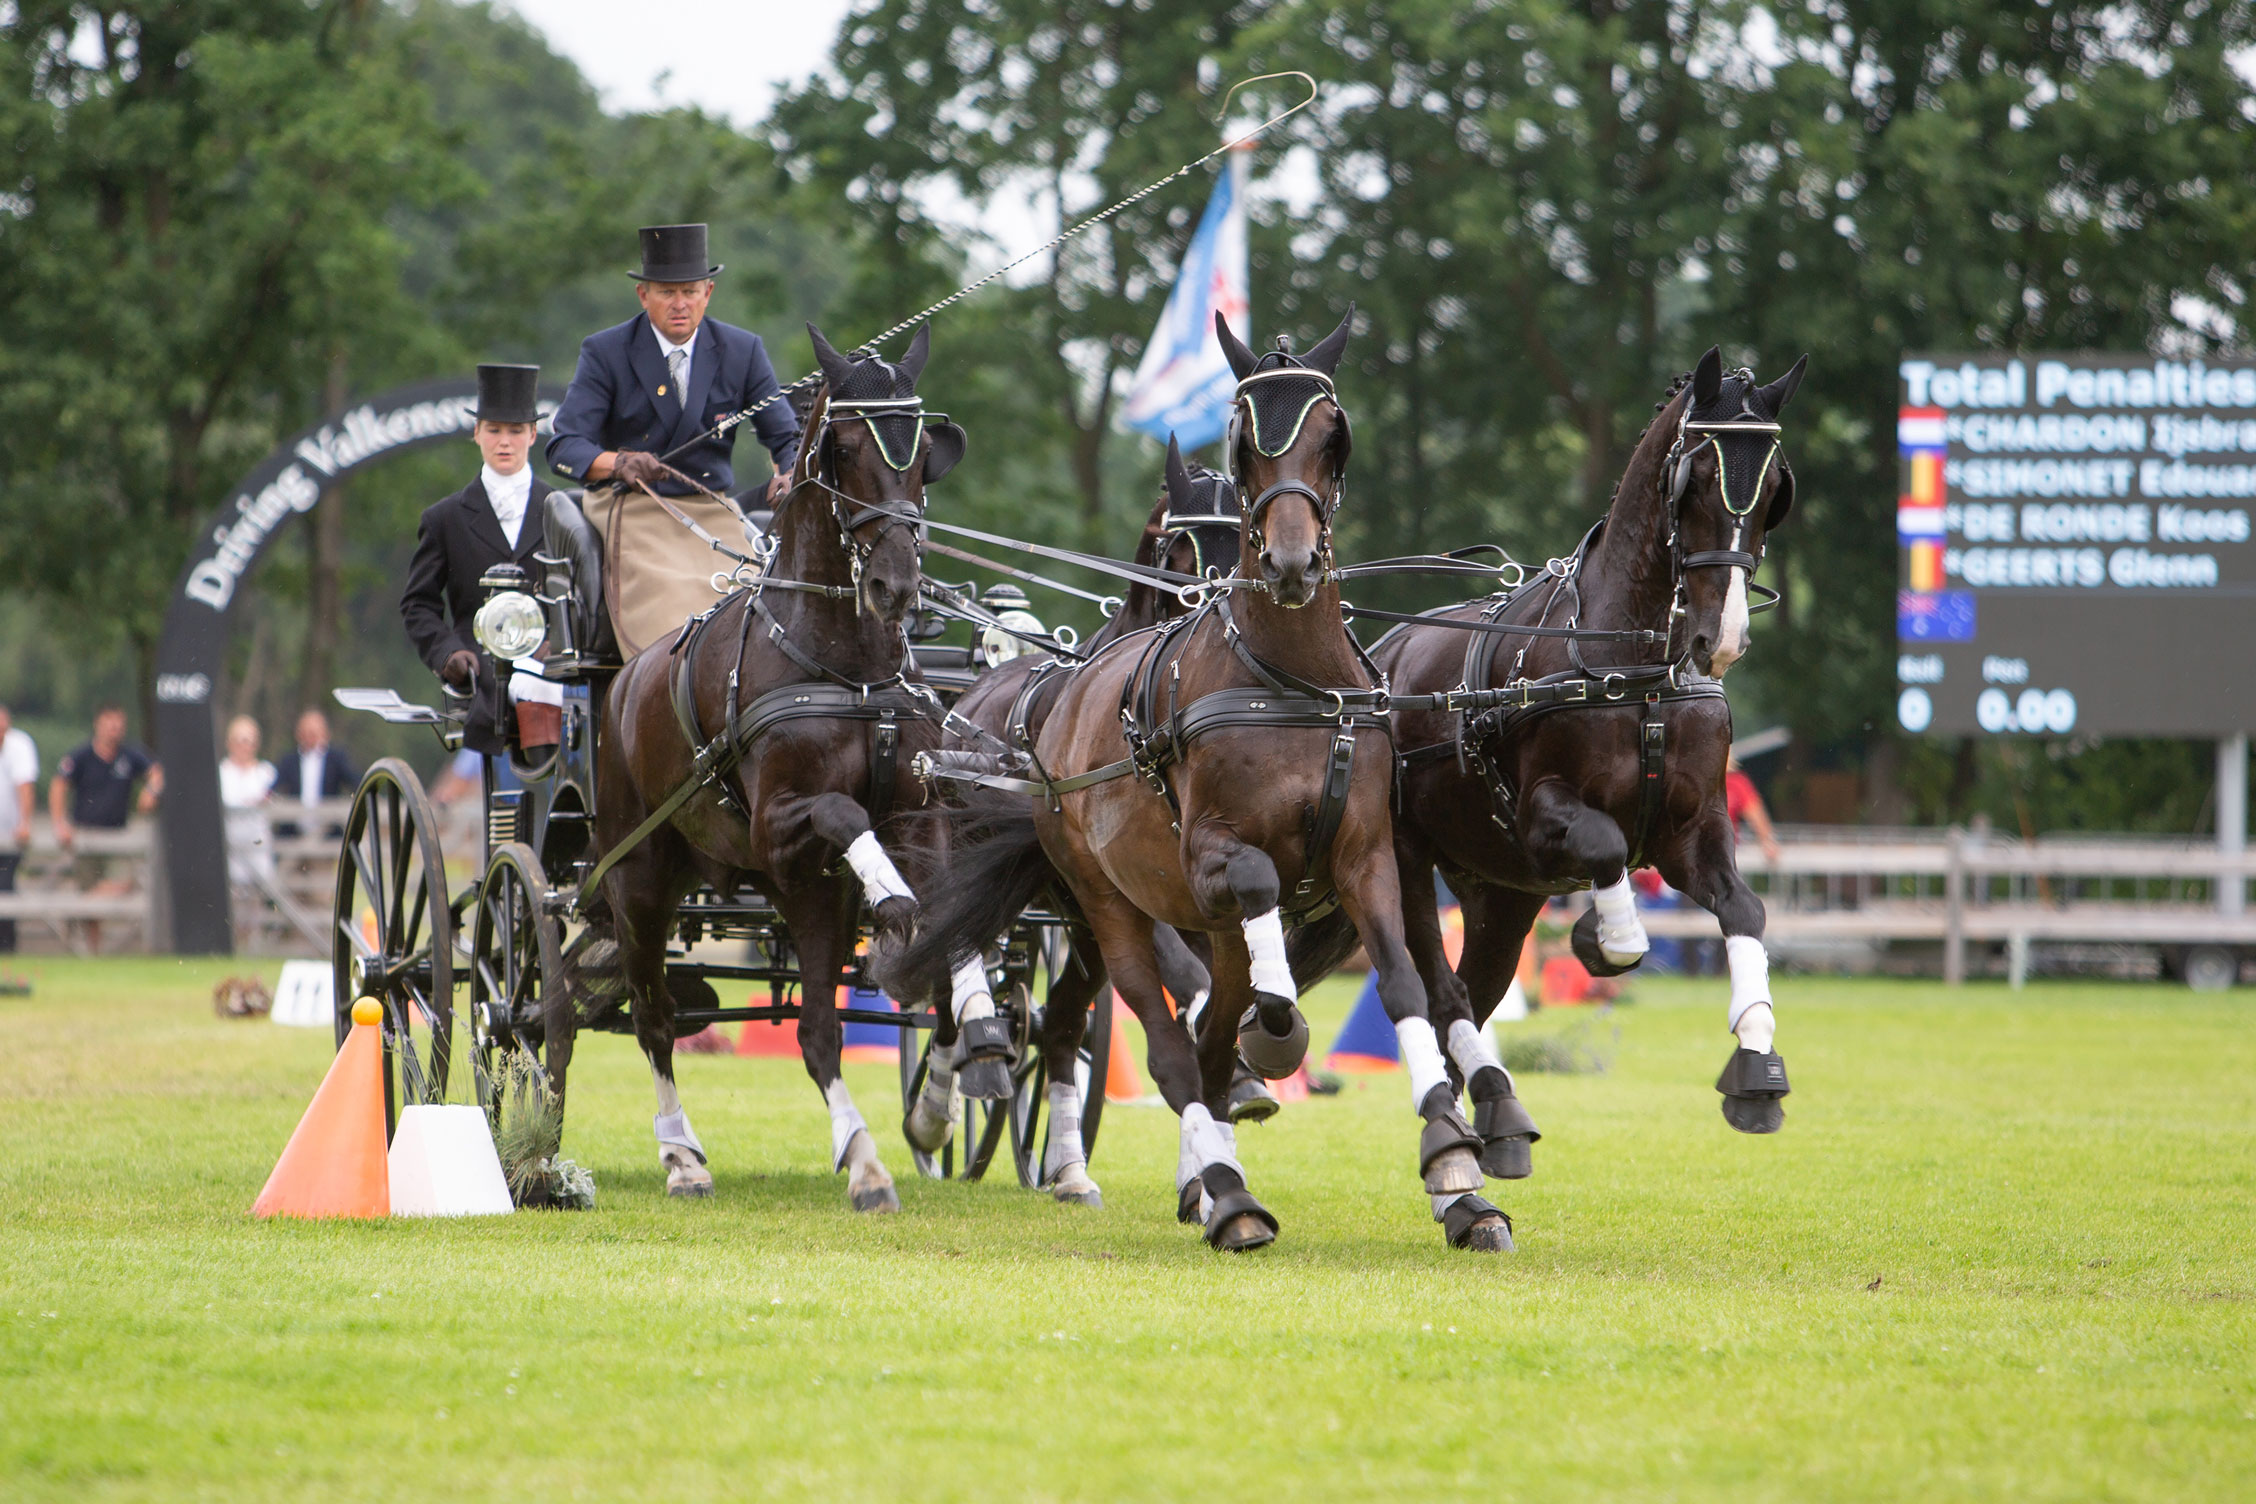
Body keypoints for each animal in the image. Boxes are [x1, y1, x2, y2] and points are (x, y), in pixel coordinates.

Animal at [568, 326, 965, 1208]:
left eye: (924, 452)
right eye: (843, 449)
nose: (896, 586)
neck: (848, 669)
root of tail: (621, 682)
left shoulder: (916, 820)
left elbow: (944, 956)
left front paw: (934, 1102)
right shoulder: (782, 835)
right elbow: (847, 822)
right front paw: (891, 901)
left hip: (744, 882)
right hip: (639, 878)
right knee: (653, 1016)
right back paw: (681, 1156)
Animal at [888, 315, 1507, 1262]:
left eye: (1334, 435)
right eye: (1243, 438)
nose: (1288, 562)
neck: (1290, 682)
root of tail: (1051, 703)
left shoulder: (1366, 857)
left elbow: (1402, 986)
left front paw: (1454, 1163)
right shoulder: (1212, 862)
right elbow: (1253, 944)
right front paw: (1274, 1044)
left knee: (1147, 1033)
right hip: (1103, 904)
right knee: (1164, 1042)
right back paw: (1223, 1190)